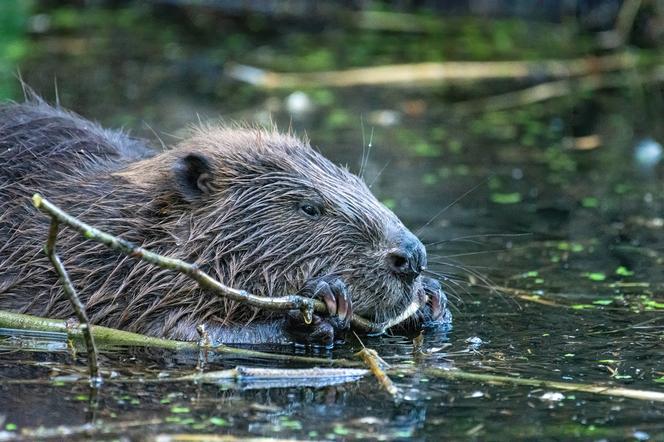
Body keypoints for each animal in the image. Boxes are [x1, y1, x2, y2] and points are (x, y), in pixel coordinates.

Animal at [0, 95, 448, 348]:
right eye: (308, 208)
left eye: (361, 183)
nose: (412, 257)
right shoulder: (93, 273)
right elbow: (176, 331)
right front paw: (322, 303)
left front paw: (431, 301)